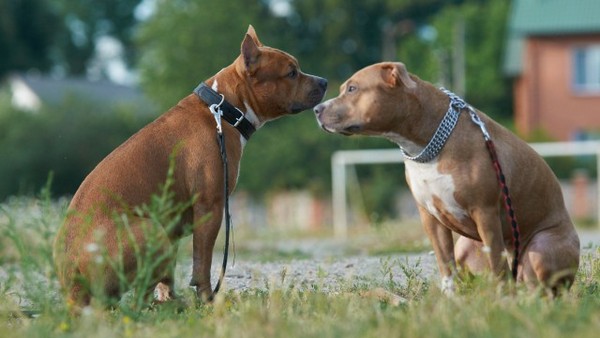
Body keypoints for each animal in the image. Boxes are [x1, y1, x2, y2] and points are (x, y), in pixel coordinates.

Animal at [54, 25, 328, 308]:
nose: (324, 82)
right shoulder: (210, 208)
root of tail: (73, 283)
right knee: (137, 300)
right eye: (291, 72)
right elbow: (202, 262)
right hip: (152, 229)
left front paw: (171, 296)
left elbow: (169, 274)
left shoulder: (176, 225)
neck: (223, 109)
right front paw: (208, 300)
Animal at [316, 62, 580, 294]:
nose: (317, 109)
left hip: (541, 247)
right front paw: (450, 300)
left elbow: (497, 264)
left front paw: (503, 300)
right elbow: (446, 264)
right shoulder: (430, 217)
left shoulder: (485, 212)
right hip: (465, 246)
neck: (426, 147)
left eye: (352, 88)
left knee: (538, 286)